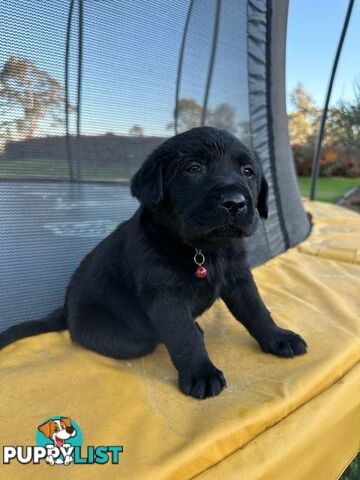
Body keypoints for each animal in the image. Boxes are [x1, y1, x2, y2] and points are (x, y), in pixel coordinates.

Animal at [0, 126, 306, 398]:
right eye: (193, 169)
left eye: (248, 171)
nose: (235, 202)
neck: (204, 250)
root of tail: (62, 311)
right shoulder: (166, 298)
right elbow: (184, 336)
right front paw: (201, 374)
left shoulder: (239, 279)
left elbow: (257, 311)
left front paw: (279, 337)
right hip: (121, 336)